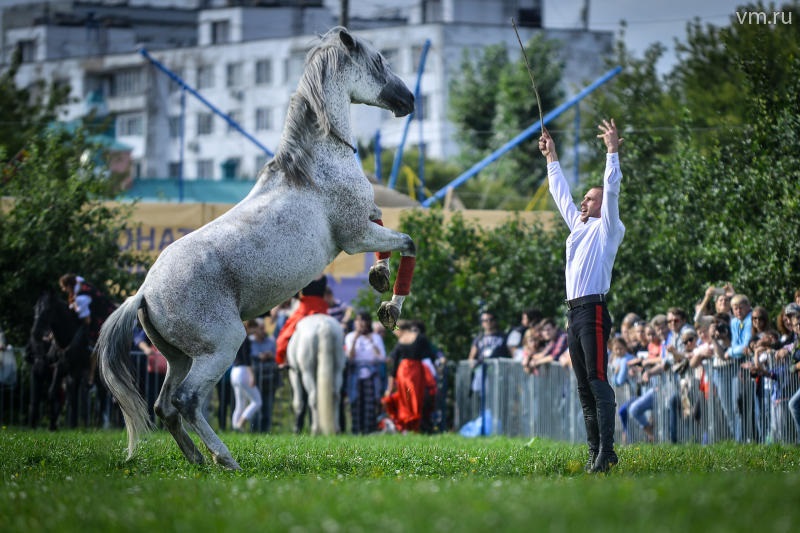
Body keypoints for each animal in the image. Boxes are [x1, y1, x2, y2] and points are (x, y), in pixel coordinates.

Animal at [28, 288, 90, 430]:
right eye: (35, 308)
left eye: (48, 310)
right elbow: (47, 395)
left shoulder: (64, 368)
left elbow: (54, 393)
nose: (35, 332)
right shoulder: (49, 369)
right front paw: (47, 425)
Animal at [97, 28, 416, 470]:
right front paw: (390, 309)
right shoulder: (354, 237)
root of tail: (144, 293)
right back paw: (224, 458)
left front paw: (379, 276)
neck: (316, 164)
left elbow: (388, 226)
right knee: (186, 401)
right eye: (379, 62)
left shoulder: (365, 222)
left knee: (164, 406)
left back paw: (195, 458)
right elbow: (408, 242)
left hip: (178, 357)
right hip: (222, 346)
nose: (409, 99)